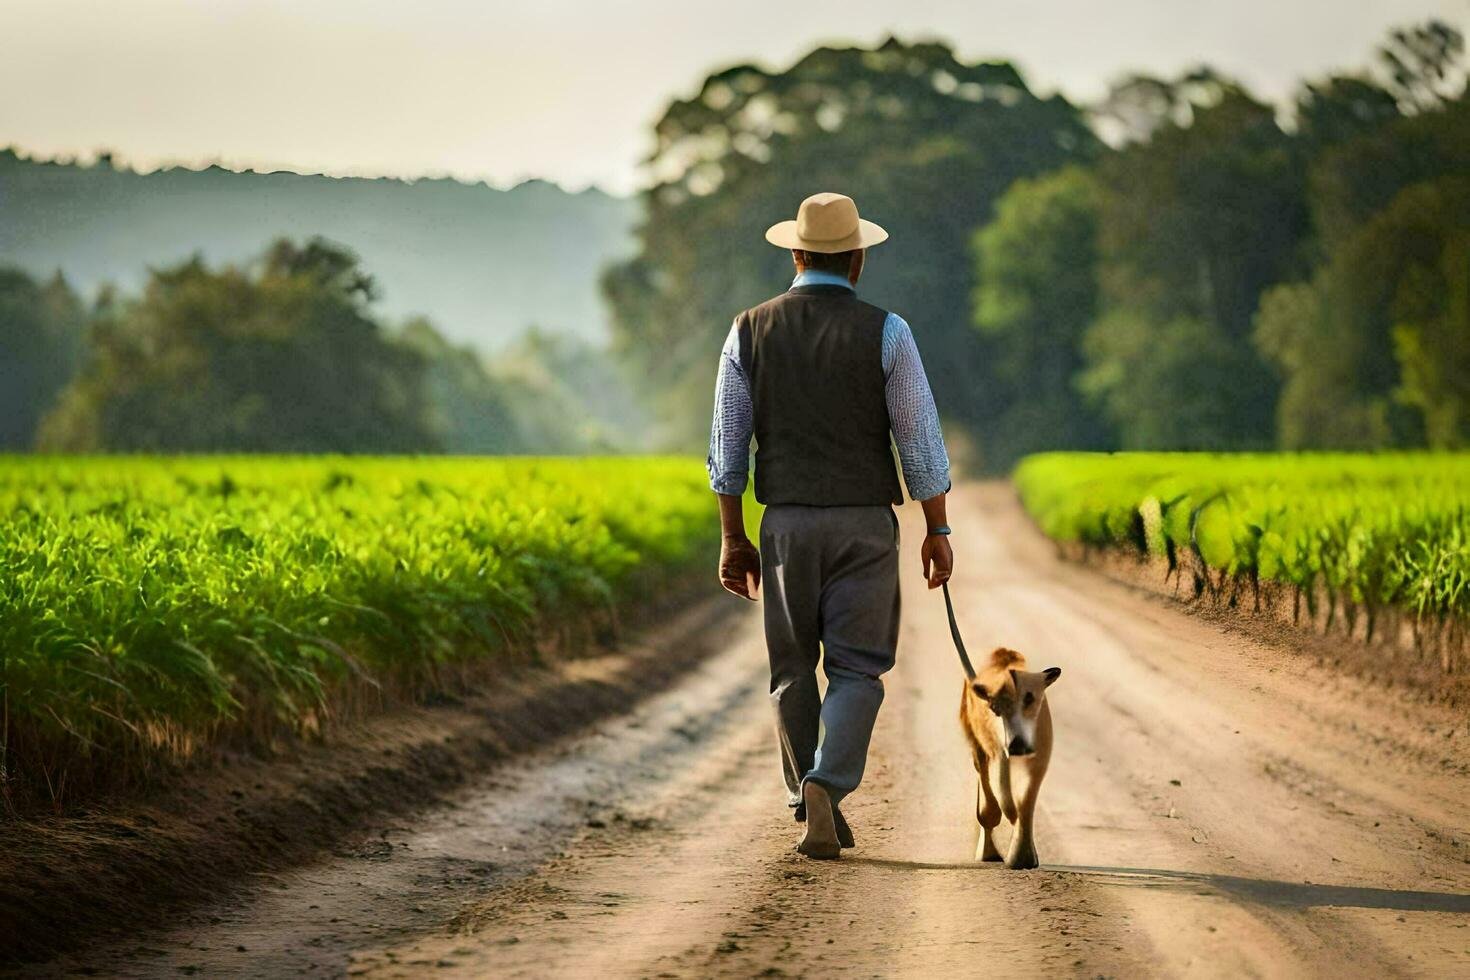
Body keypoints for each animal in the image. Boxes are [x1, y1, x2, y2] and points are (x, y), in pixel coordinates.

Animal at [958, 652, 1064, 863]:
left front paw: (1024, 856)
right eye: (995, 706)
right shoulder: (995, 753)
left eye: (1030, 698)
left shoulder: (1040, 758)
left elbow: (1026, 802)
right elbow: (1001, 800)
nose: (1017, 743)